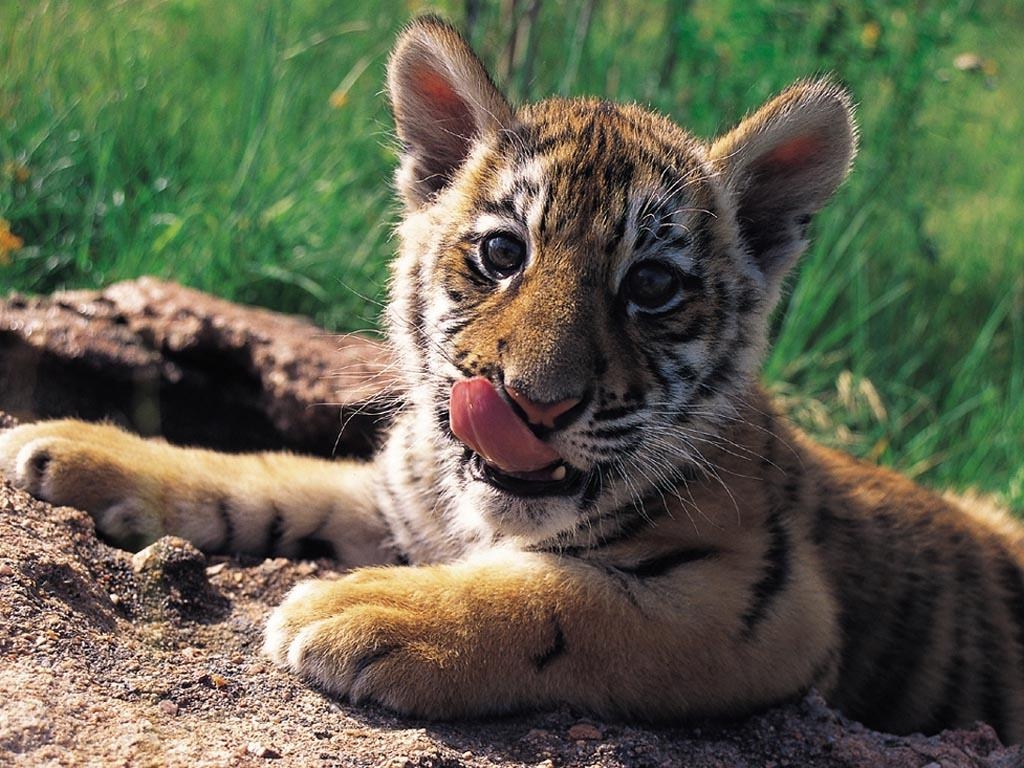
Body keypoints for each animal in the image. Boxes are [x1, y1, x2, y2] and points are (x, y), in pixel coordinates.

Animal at [1, 16, 1022, 744]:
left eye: (653, 287)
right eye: (502, 253)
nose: (534, 404)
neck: (473, 514)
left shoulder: (761, 606)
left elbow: (564, 597)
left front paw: (361, 609)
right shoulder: (396, 497)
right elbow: (264, 474)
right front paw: (67, 448)